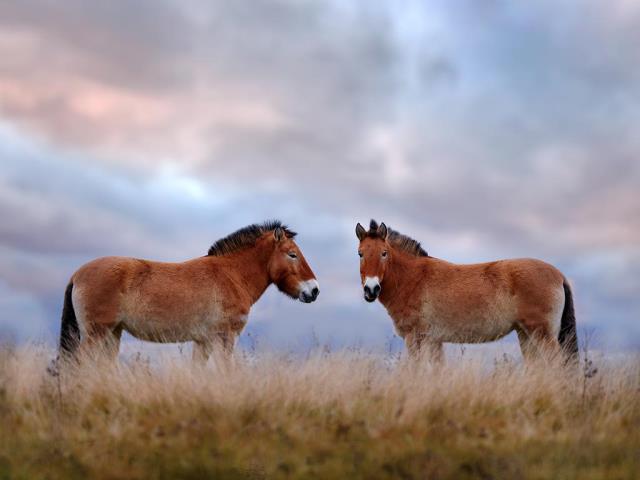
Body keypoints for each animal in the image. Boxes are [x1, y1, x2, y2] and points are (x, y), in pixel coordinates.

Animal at [57, 220, 319, 364]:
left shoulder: (203, 343)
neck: (231, 275)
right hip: (95, 335)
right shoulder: (224, 339)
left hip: (112, 334)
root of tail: (77, 274)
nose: (314, 290)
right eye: (292, 254)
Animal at [355, 220, 578, 362]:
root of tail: (559, 275)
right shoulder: (434, 341)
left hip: (542, 335)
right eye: (360, 254)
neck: (412, 278)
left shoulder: (415, 338)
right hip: (526, 335)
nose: (371, 290)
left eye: (384, 253)